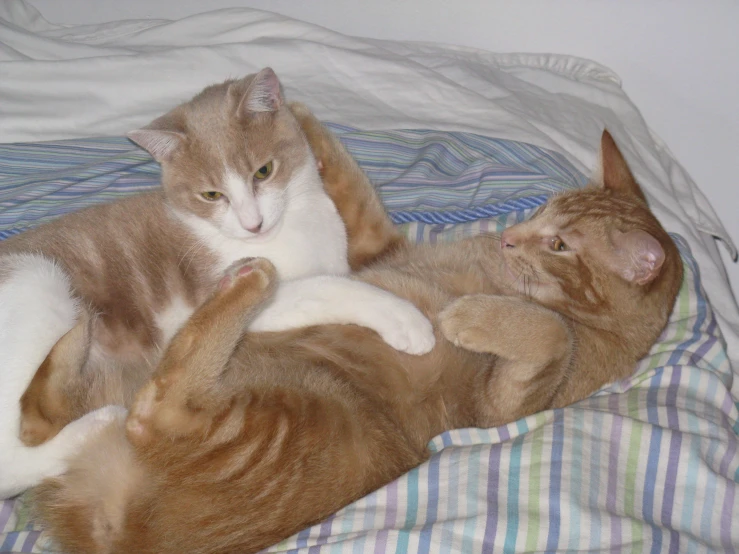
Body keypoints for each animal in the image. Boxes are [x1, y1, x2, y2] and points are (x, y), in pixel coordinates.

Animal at [0, 68, 434, 496]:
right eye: (212, 195)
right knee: (14, 454)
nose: (252, 223)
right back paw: (96, 424)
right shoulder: (222, 292)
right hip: (41, 283)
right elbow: (327, 286)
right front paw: (406, 318)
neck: (294, 225)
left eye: (263, 171)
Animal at [33, 112, 684, 552]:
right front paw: (295, 115)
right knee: (46, 407)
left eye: (559, 245)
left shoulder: (502, 406)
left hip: (262, 422)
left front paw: (467, 315)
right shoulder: (376, 248)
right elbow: (353, 182)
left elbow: (550, 333)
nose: (508, 237)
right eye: (546, 212)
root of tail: (118, 535)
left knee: (158, 407)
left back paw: (246, 281)